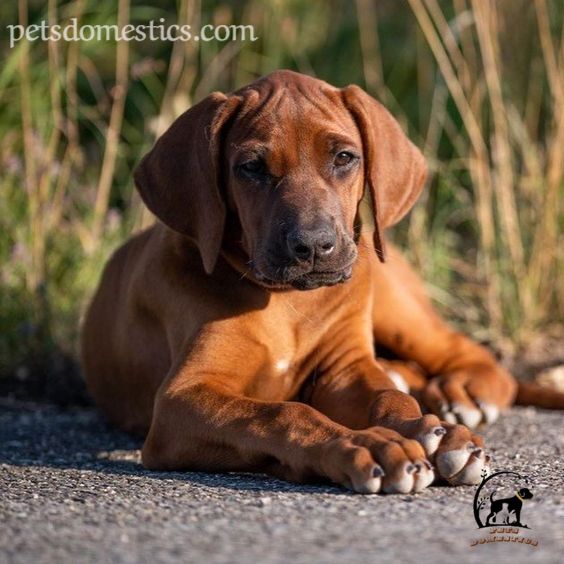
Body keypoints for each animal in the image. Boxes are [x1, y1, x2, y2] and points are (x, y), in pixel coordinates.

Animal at [81, 70, 560, 494]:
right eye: (251, 167)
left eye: (344, 157)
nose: (313, 246)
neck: (286, 302)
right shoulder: (180, 400)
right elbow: (281, 414)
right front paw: (370, 445)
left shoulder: (345, 369)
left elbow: (389, 399)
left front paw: (430, 431)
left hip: (392, 302)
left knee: (468, 353)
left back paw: (464, 393)